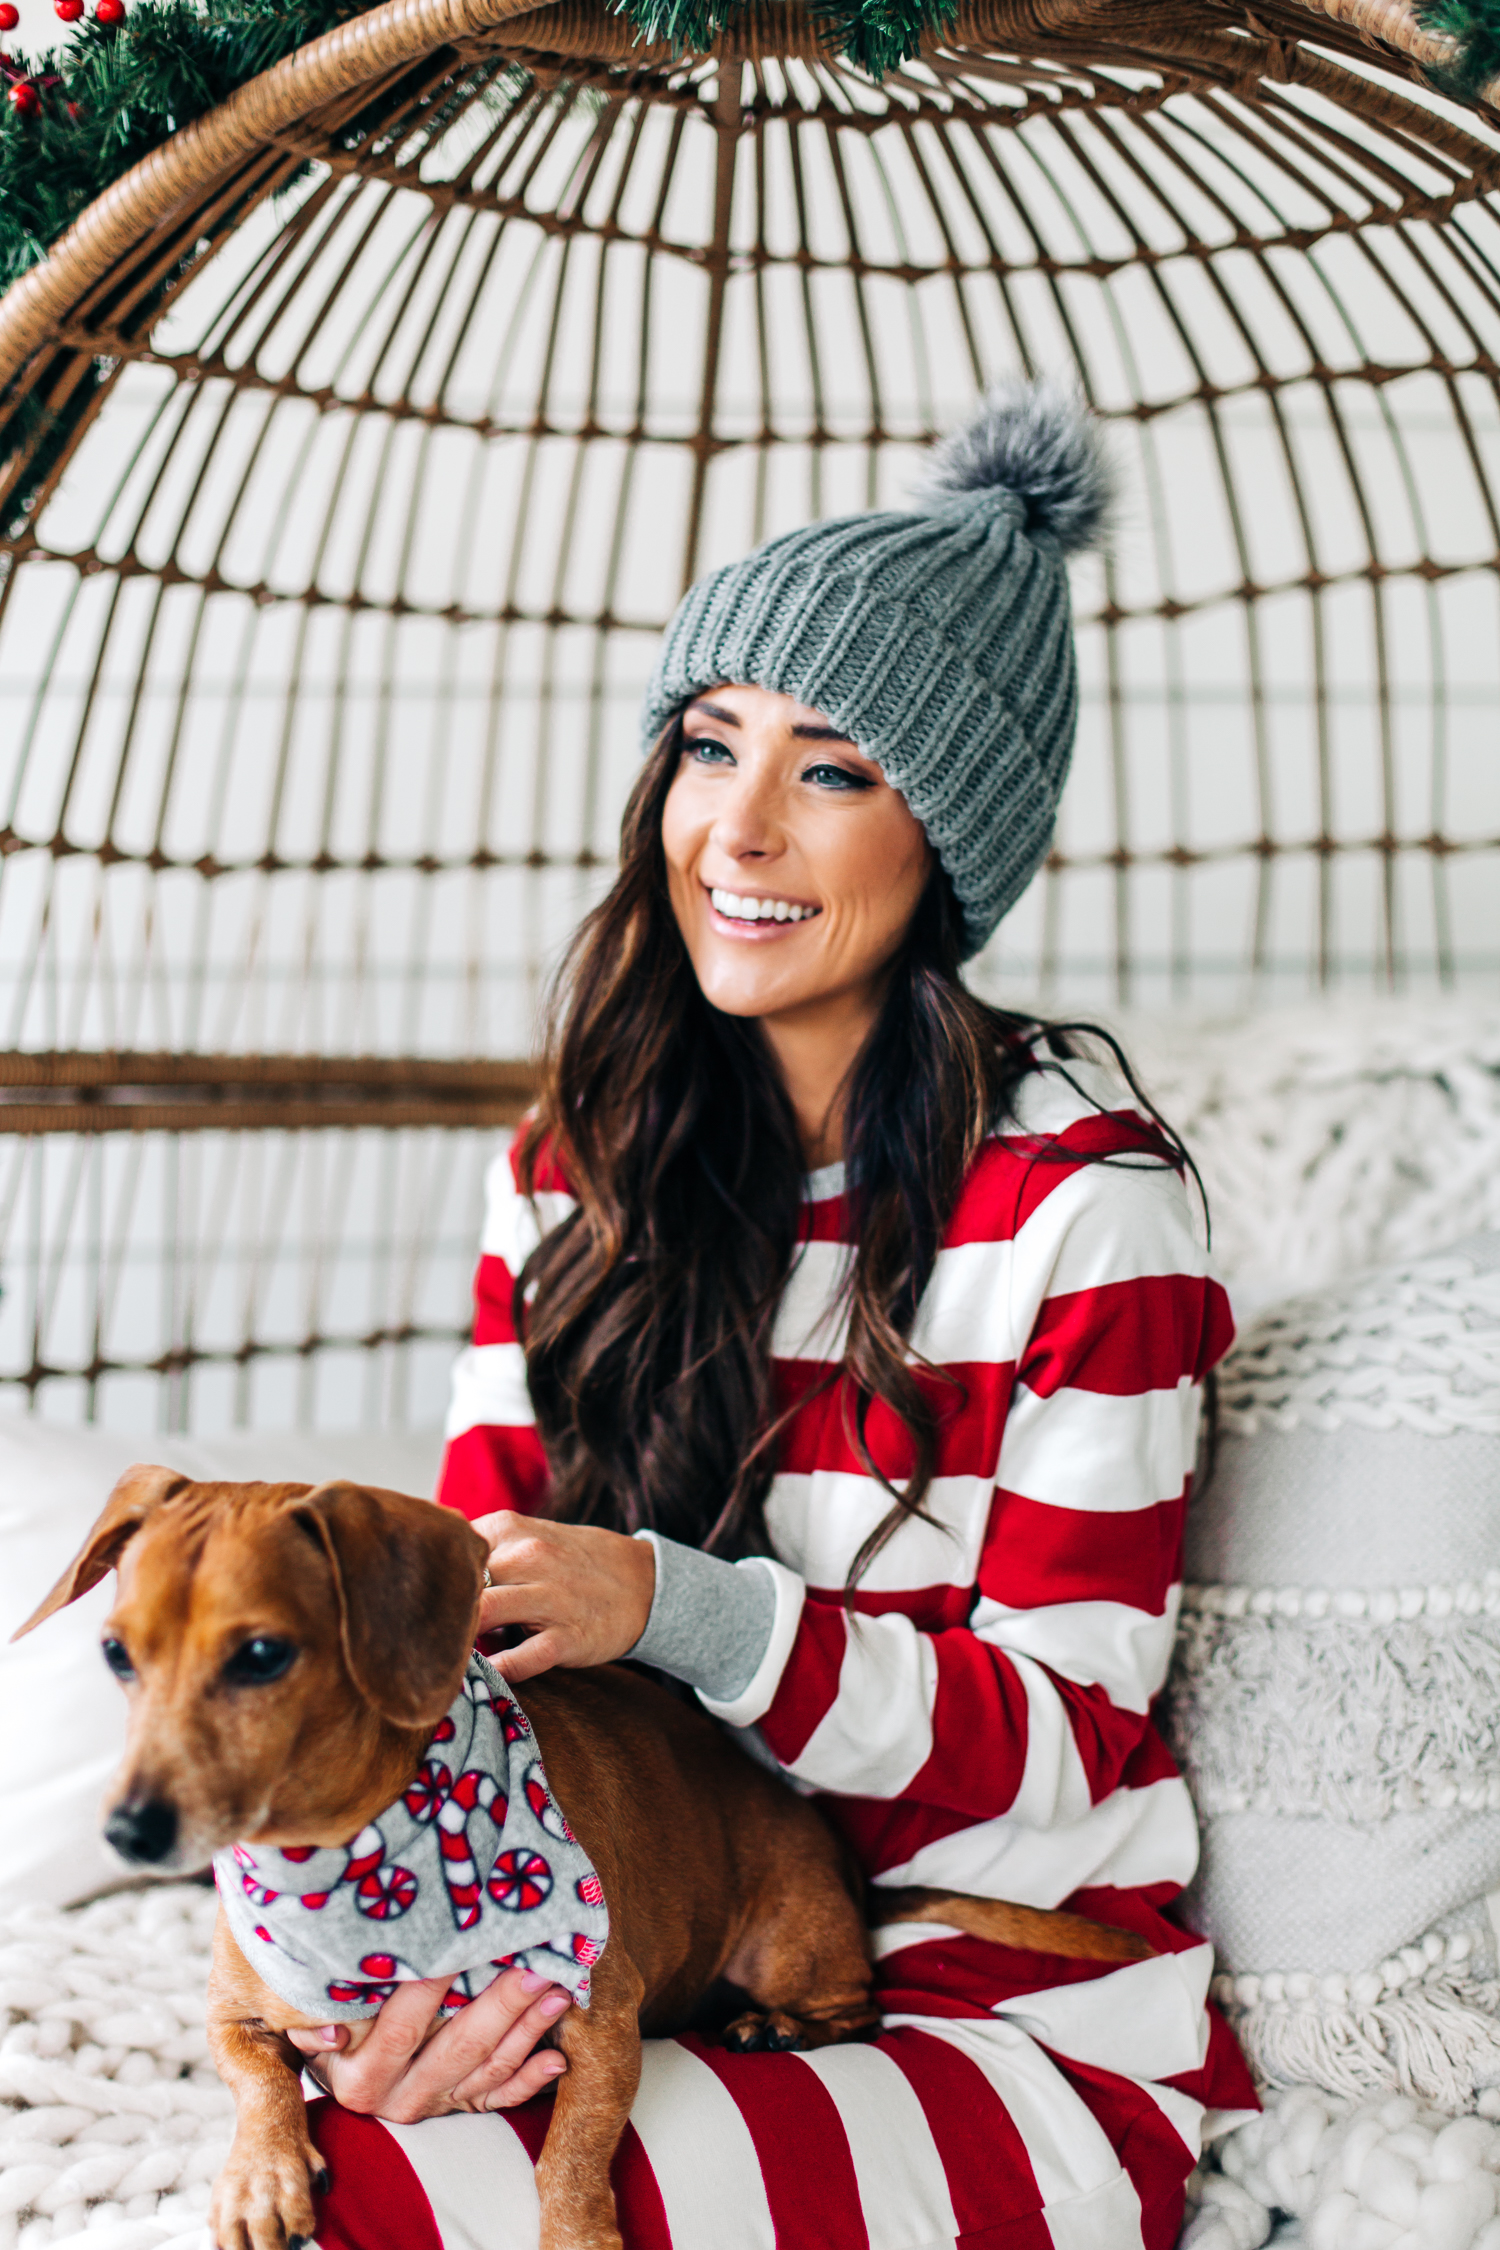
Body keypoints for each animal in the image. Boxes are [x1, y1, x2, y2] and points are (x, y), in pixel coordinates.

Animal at [14, 1467, 1151, 2250]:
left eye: (261, 1655)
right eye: (116, 1653)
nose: (130, 1832)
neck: (358, 1872)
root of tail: (842, 1867)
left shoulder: (602, 2020)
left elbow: (572, 2152)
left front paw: (575, 2229)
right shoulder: (238, 2015)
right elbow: (259, 2083)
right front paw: (261, 2178)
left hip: (789, 1940)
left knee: (857, 2004)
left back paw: (780, 2026)